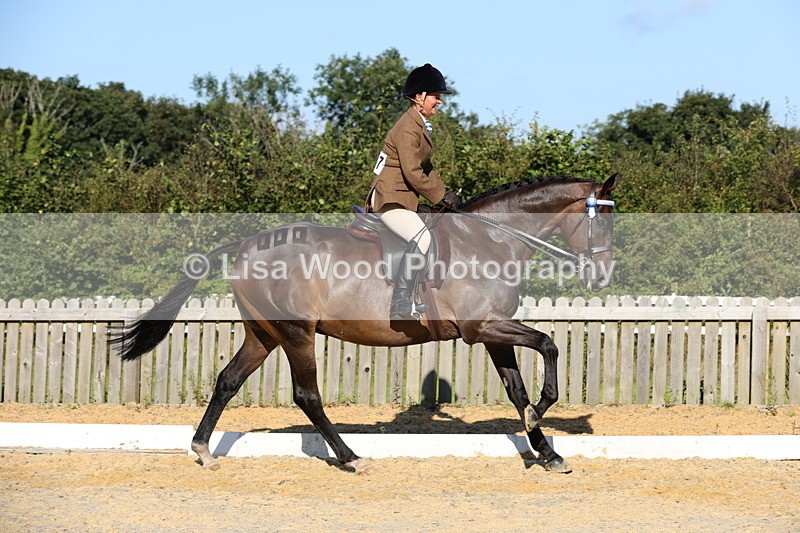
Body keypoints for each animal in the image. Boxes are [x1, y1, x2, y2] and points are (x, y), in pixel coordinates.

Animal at [110, 174, 620, 474]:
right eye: (603, 223)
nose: (602, 276)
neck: (491, 240)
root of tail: (247, 245)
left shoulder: (494, 331)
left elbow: (516, 390)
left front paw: (547, 452)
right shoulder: (483, 328)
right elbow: (549, 345)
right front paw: (544, 413)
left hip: (263, 335)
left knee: (227, 381)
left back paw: (202, 450)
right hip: (296, 334)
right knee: (307, 396)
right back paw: (351, 457)